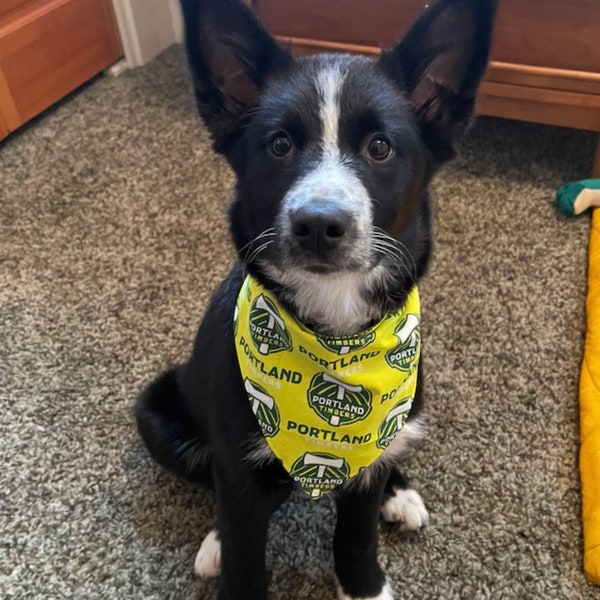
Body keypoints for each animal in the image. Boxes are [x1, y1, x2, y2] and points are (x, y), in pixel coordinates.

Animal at [136, 1, 496, 600]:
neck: (335, 334)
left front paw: (365, 586)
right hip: (157, 412)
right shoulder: (237, 472)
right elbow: (243, 550)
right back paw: (214, 540)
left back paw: (399, 491)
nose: (319, 225)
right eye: (280, 144)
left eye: (380, 147)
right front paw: (229, 552)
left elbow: (356, 532)